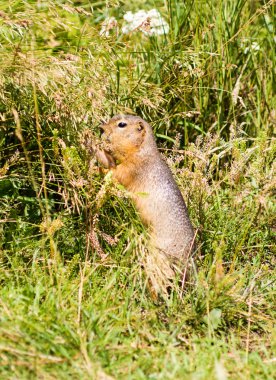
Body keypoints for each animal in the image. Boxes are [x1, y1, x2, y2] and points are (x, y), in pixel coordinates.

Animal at [96, 114, 195, 292]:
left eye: (122, 124)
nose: (100, 128)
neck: (143, 149)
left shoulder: (133, 167)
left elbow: (116, 172)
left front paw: (97, 157)